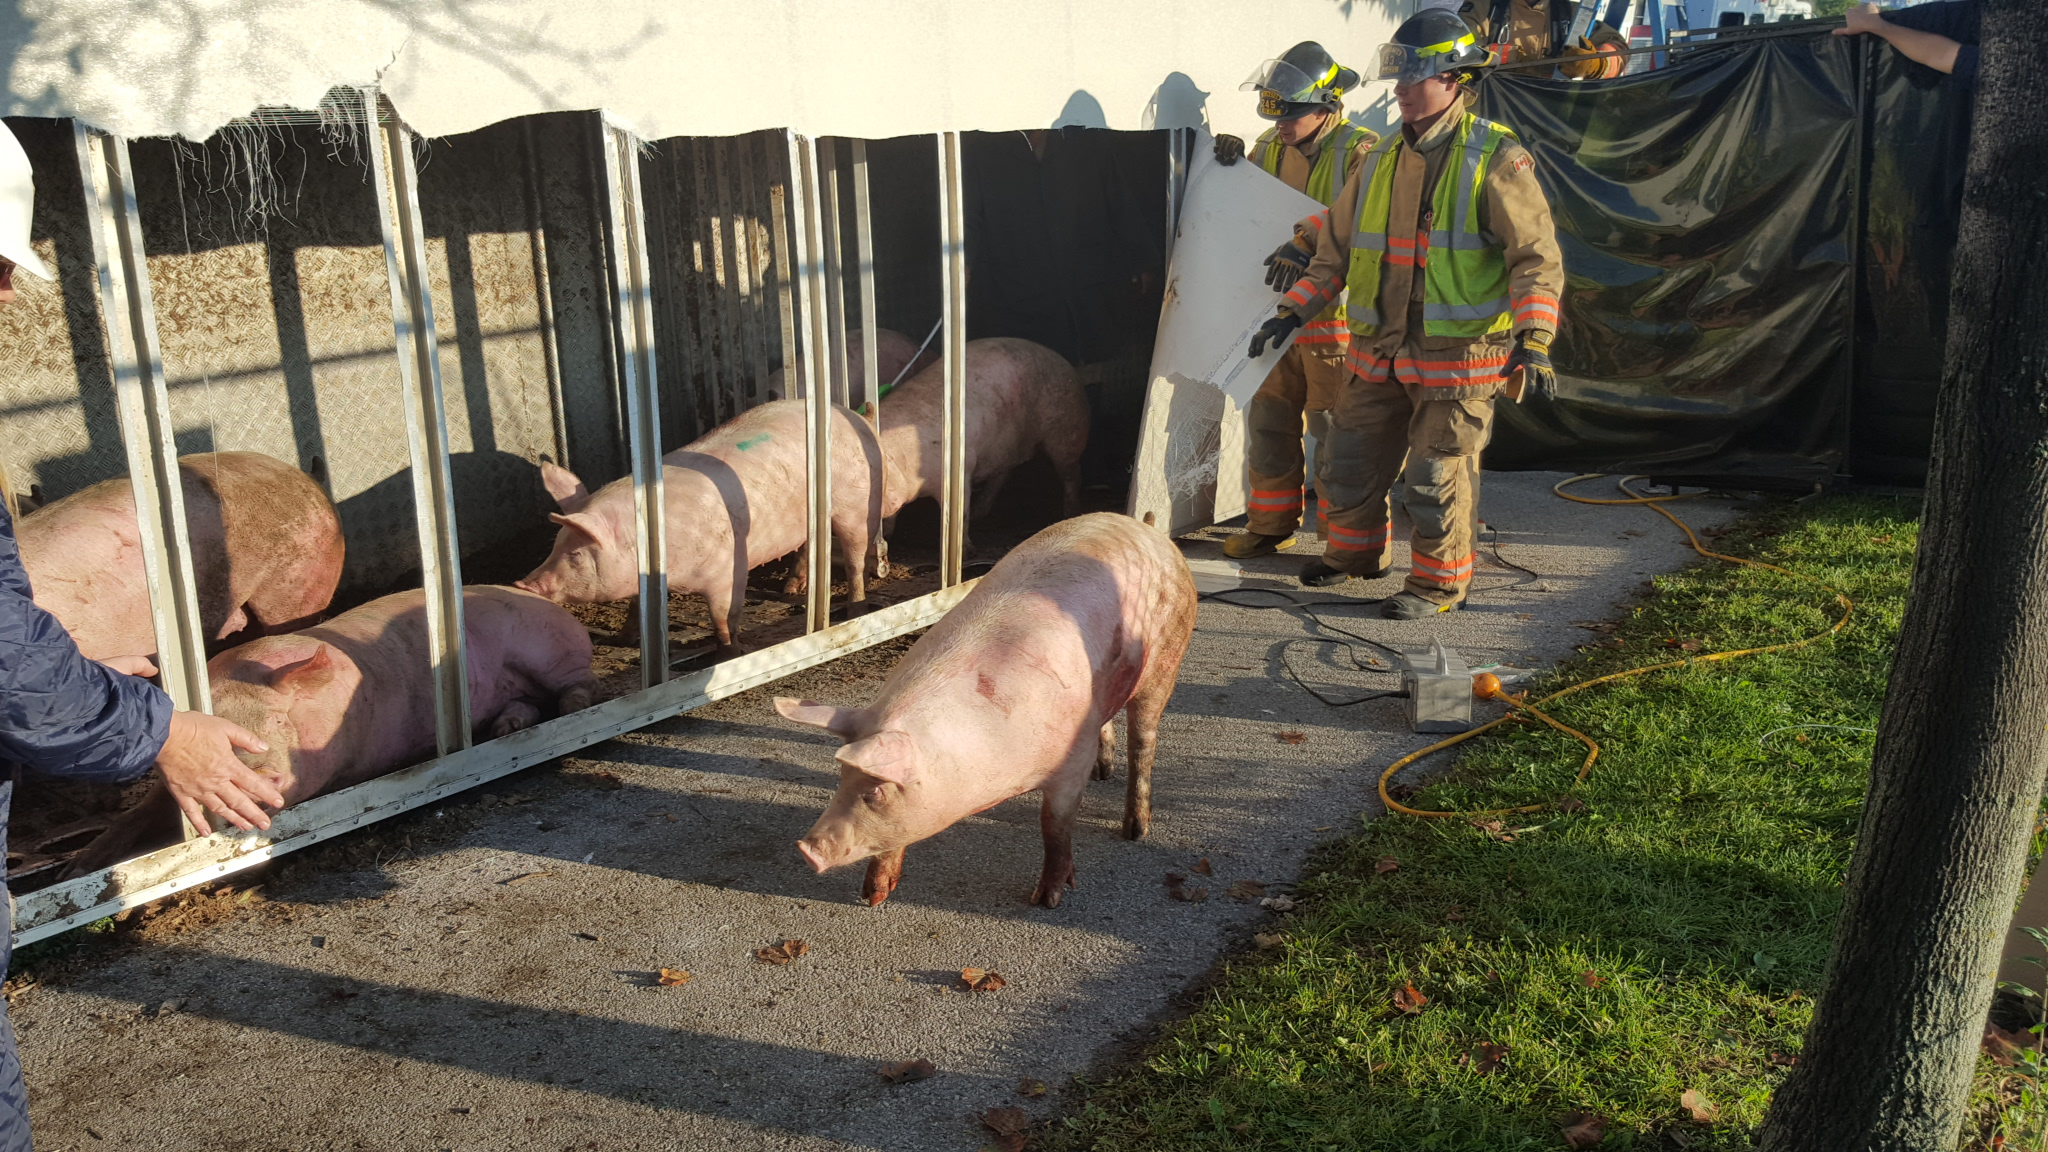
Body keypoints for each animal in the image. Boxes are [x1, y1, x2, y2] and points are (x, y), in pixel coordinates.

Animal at [58, 582, 598, 869]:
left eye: (278, 719)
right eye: (215, 742)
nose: (258, 774)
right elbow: (137, 815)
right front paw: (81, 863)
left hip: (548, 649)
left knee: (580, 687)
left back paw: (563, 709)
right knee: (527, 705)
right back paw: (504, 728)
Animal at [512, 397, 880, 651]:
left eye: (576, 555)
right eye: (556, 544)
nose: (523, 584)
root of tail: (857, 416)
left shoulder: (728, 568)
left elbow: (723, 613)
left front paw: (730, 650)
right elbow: (638, 608)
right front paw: (624, 639)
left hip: (856, 503)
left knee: (855, 556)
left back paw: (855, 606)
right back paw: (791, 589)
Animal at [778, 510, 1196, 906]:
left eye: (877, 792)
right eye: (842, 779)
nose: (805, 848)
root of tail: (1147, 528)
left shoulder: (1071, 762)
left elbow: (1054, 827)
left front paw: (1046, 900)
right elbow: (895, 836)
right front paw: (873, 897)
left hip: (1166, 658)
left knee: (1144, 741)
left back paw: (1135, 830)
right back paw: (1103, 772)